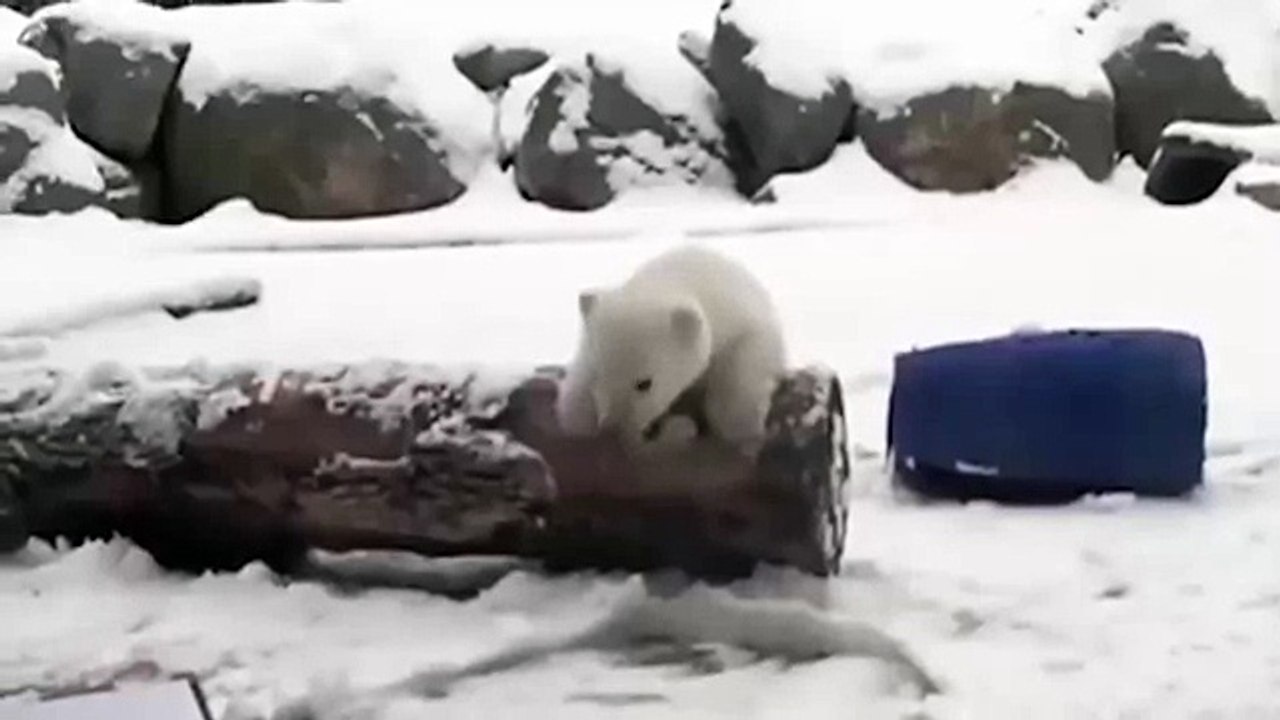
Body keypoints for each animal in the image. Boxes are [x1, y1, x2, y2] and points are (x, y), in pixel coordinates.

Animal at [556, 244, 787, 455]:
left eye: (644, 383)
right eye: (597, 374)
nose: (610, 430)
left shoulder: (743, 321)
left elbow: (744, 366)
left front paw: (743, 429)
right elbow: (574, 399)